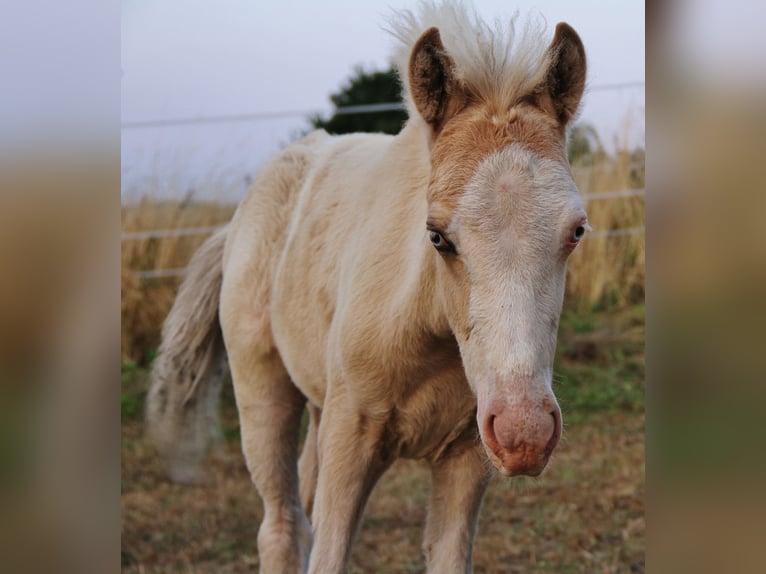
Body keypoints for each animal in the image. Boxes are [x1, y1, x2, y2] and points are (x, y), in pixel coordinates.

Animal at [146, 2, 588, 571]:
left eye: (576, 232)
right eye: (437, 236)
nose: (524, 434)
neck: (427, 329)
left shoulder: (468, 453)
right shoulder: (351, 437)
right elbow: (329, 553)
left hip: (319, 402)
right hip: (263, 388)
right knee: (283, 525)